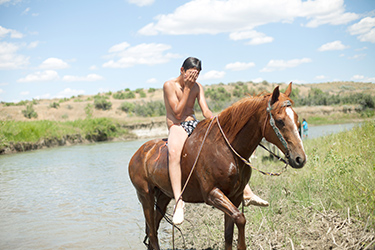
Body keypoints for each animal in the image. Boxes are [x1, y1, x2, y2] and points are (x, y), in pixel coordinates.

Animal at [129, 83, 306, 249]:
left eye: (297, 120)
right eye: (280, 121)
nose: (300, 159)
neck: (225, 148)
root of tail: (138, 154)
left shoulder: (235, 196)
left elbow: (229, 233)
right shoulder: (212, 194)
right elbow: (240, 218)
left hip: (164, 196)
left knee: (153, 230)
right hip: (145, 195)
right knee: (152, 233)